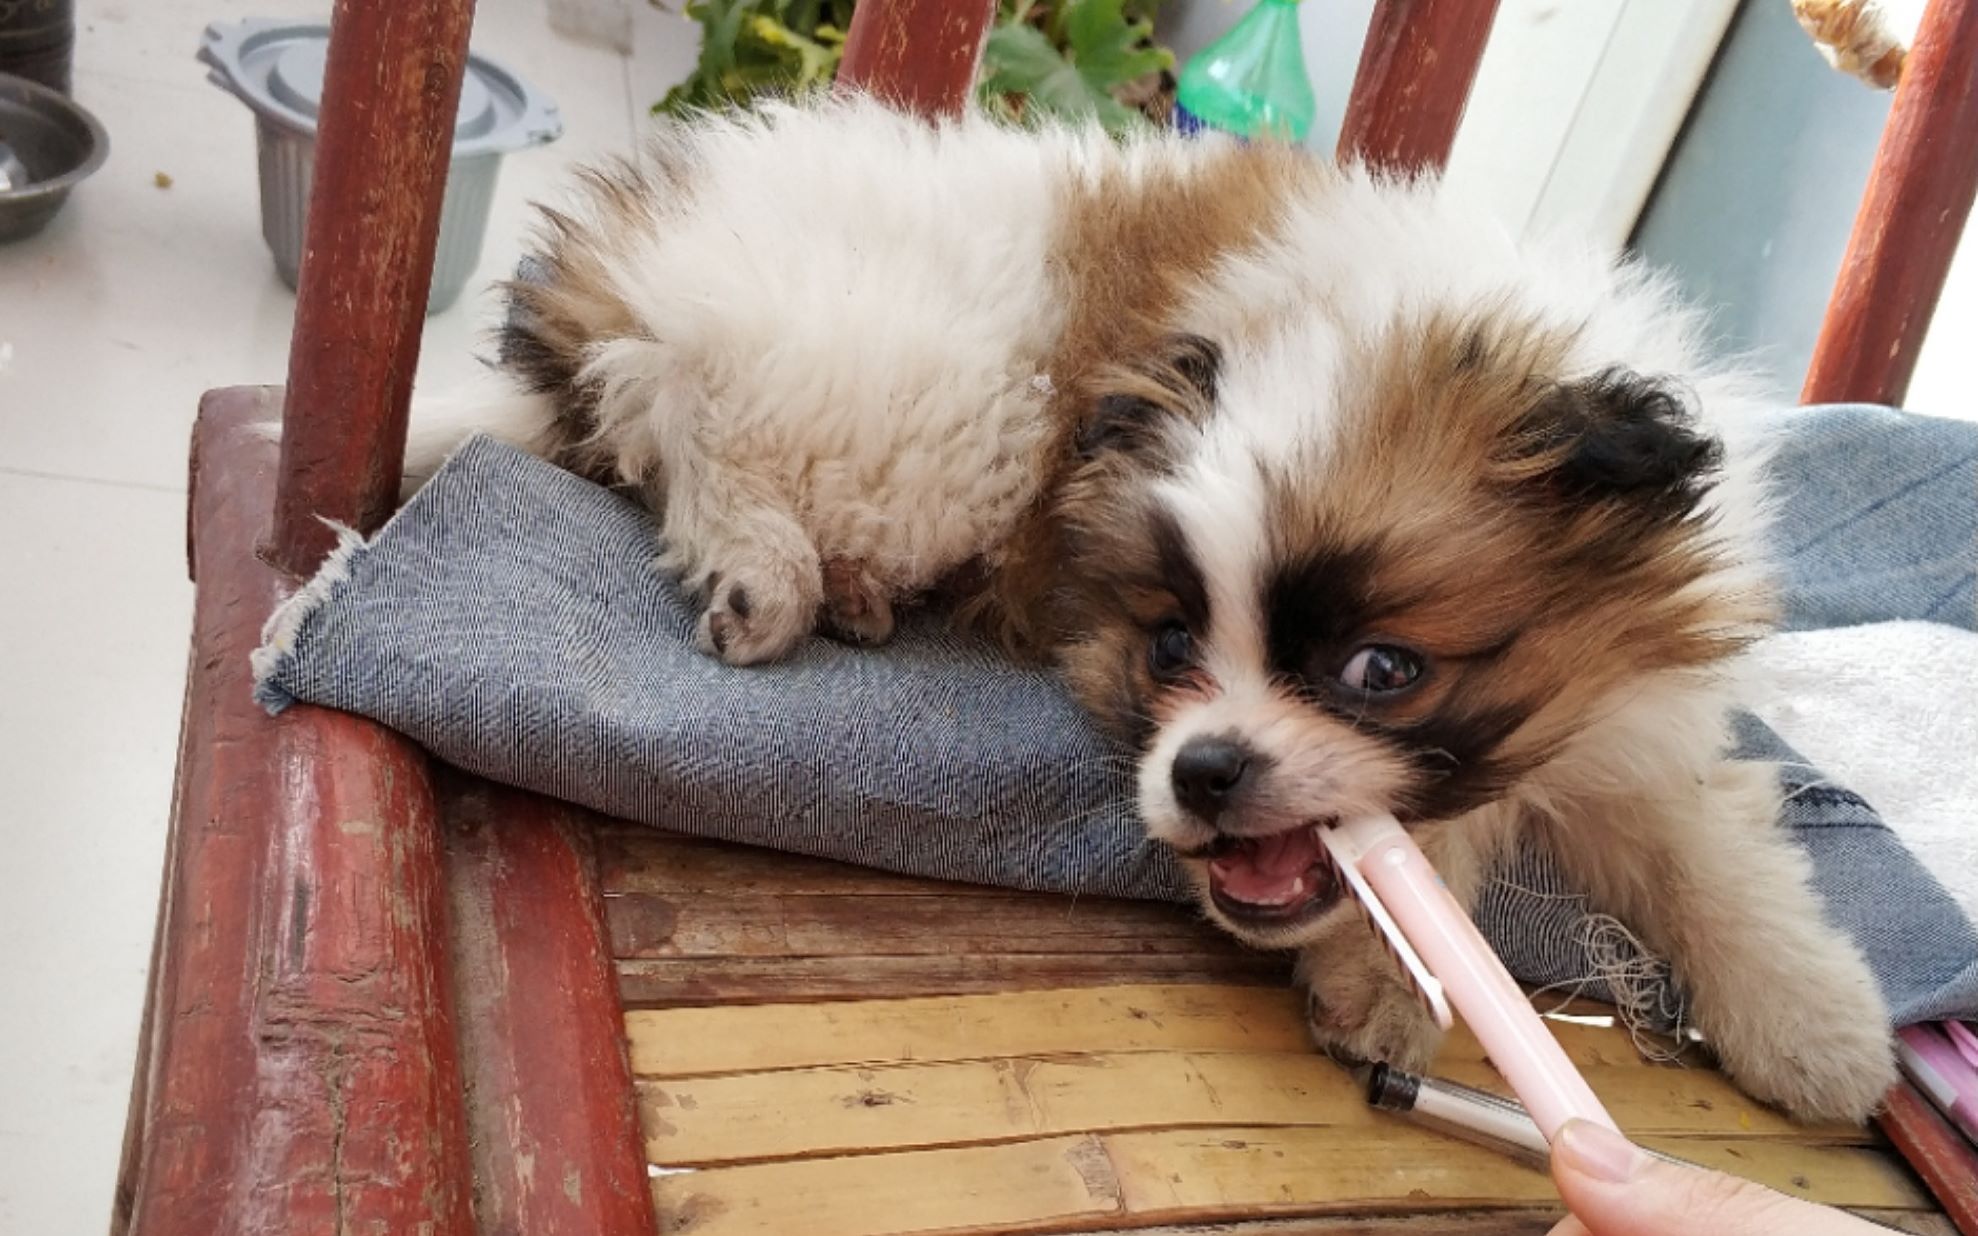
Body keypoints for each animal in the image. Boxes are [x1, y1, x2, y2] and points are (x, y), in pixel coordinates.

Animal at [417, 96, 1898, 1115]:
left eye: (1381, 669)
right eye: (1170, 644)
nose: (1205, 768)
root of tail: (622, 254)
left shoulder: (1641, 716)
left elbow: (1713, 850)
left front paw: (1814, 1025)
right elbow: (1420, 860)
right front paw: (1384, 974)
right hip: (920, 404)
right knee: (689, 417)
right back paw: (764, 571)